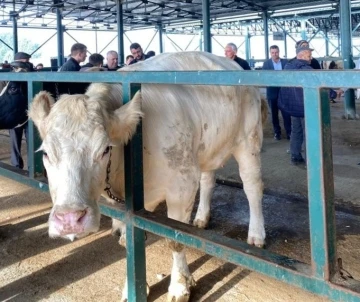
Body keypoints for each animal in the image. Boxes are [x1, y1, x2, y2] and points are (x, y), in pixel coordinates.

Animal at [28, 50, 268, 300]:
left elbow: (175, 240)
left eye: (104, 149)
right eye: (45, 153)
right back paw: (202, 217)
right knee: (208, 179)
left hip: (248, 141)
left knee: (252, 186)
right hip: (205, 147)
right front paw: (132, 286)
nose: (69, 219)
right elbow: (129, 240)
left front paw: (180, 286)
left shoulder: (181, 187)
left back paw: (256, 234)